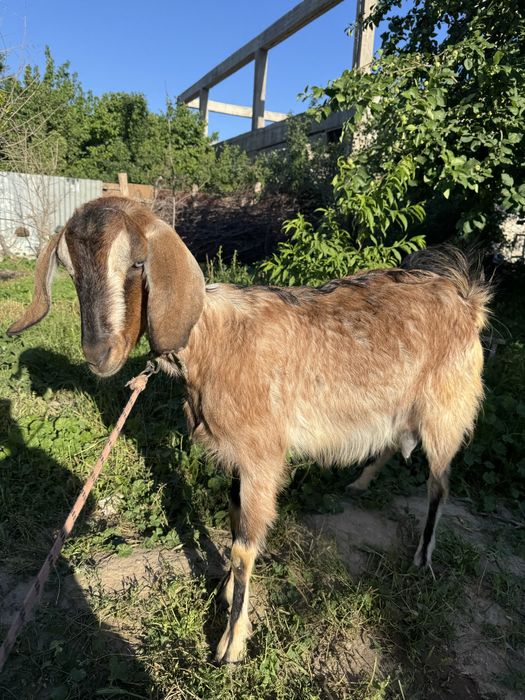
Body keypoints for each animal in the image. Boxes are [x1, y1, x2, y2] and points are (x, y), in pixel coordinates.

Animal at [7, 197, 491, 663]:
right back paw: (360, 482)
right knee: (394, 443)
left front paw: (230, 644)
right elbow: (235, 520)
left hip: (446, 409)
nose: (98, 354)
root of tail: (467, 299)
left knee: (439, 483)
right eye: (70, 271)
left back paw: (423, 556)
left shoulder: (261, 456)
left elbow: (243, 545)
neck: (212, 343)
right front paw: (224, 589)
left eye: (137, 263)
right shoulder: (235, 456)